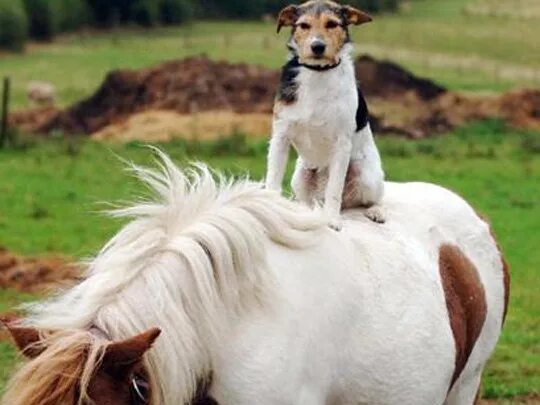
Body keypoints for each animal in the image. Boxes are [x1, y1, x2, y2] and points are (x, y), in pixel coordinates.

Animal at [264, 0, 384, 230]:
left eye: (332, 24)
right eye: (304, 25)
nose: (317, 46)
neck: (317, 72)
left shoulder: (341, 144)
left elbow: (334, 189)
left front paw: (332, 220)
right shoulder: (281, 136)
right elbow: (272, 179)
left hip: (365, 175)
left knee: (374, 199)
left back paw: (375, 212)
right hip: (300, 176)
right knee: (307, 200)